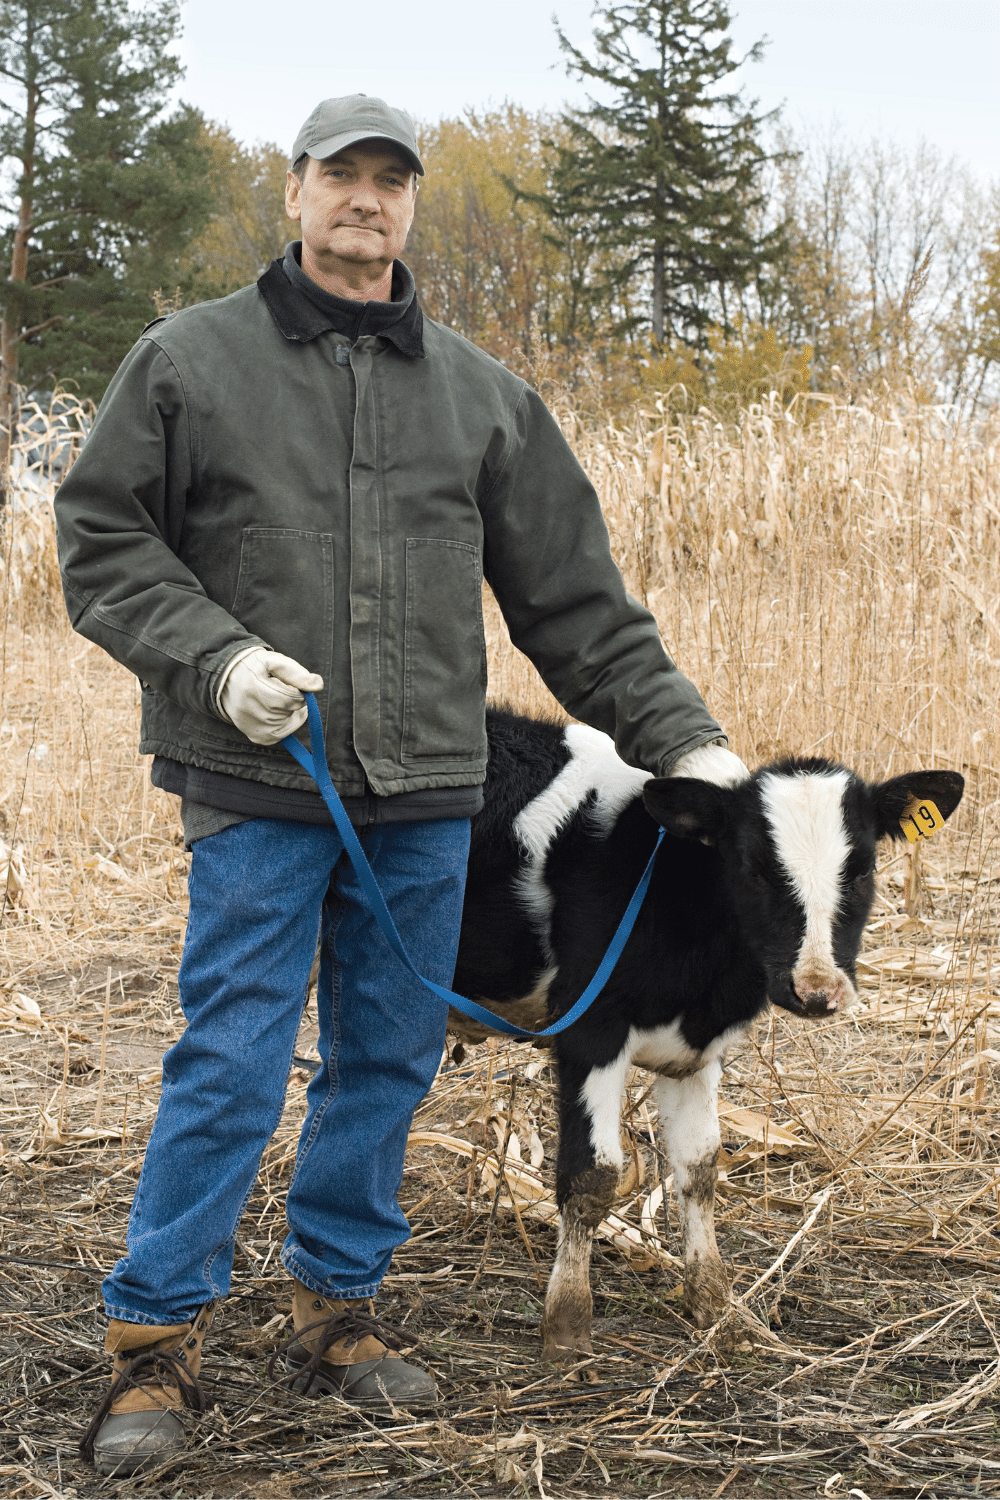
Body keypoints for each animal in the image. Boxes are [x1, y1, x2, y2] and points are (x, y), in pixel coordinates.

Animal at [452, 708, 959, 1368]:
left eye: (864, 868)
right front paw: (566, 1324)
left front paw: (720, 1311)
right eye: (752, 868)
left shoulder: (696, 1054)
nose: (817, 990)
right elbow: (592, 1175)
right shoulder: (590, 1028)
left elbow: (698, 1169)